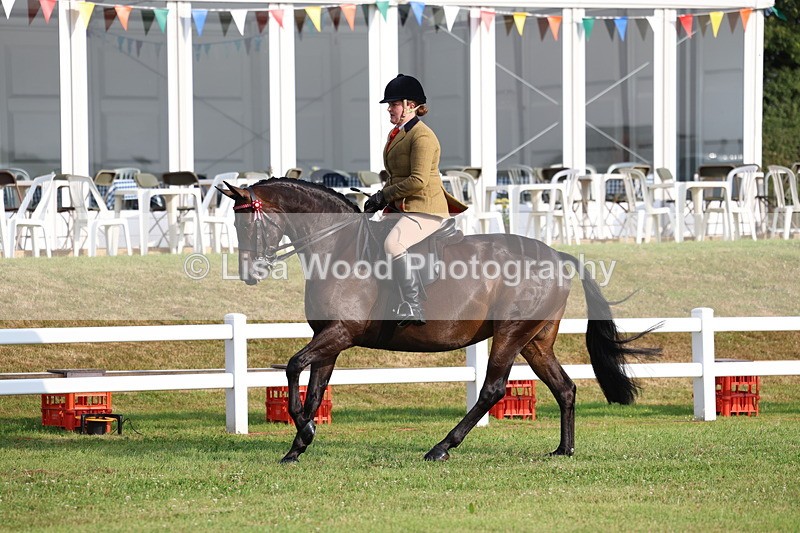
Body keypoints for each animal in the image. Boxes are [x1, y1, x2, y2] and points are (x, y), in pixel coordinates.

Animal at [219, 178, 659, 464]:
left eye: (247, 222)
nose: (250, 274)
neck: (337, 247)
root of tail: (559, 256)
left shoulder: (340, 333)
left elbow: (294, 366)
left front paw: (304, 433)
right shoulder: (329, 339)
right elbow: (312, 389)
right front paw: (298, 445)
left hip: (510, 335)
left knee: (492, 390)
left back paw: (441, 448)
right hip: (535, 340)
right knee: (564, 387)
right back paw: (563, 451)